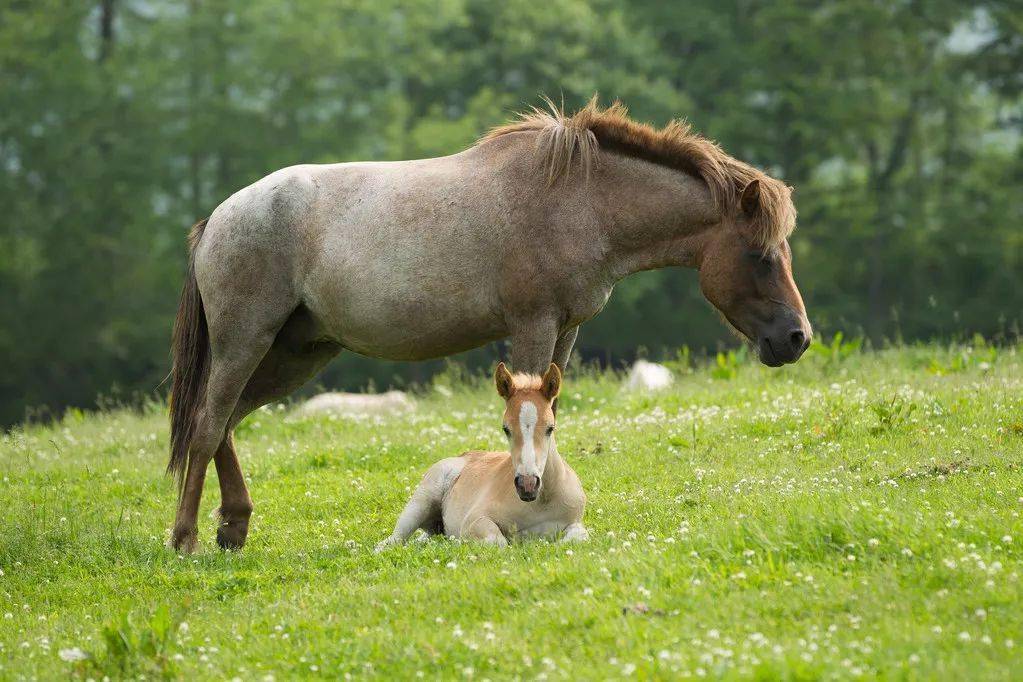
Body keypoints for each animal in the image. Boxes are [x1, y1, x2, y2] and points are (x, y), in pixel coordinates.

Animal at [376, 361, 589, 548]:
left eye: (550, 428)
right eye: (506, 429)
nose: (527, 485)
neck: (540, 503)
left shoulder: (575, 523)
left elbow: (577, 537)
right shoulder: (475, 519)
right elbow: (498, 542)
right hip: (421, 501)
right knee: (390, 543)